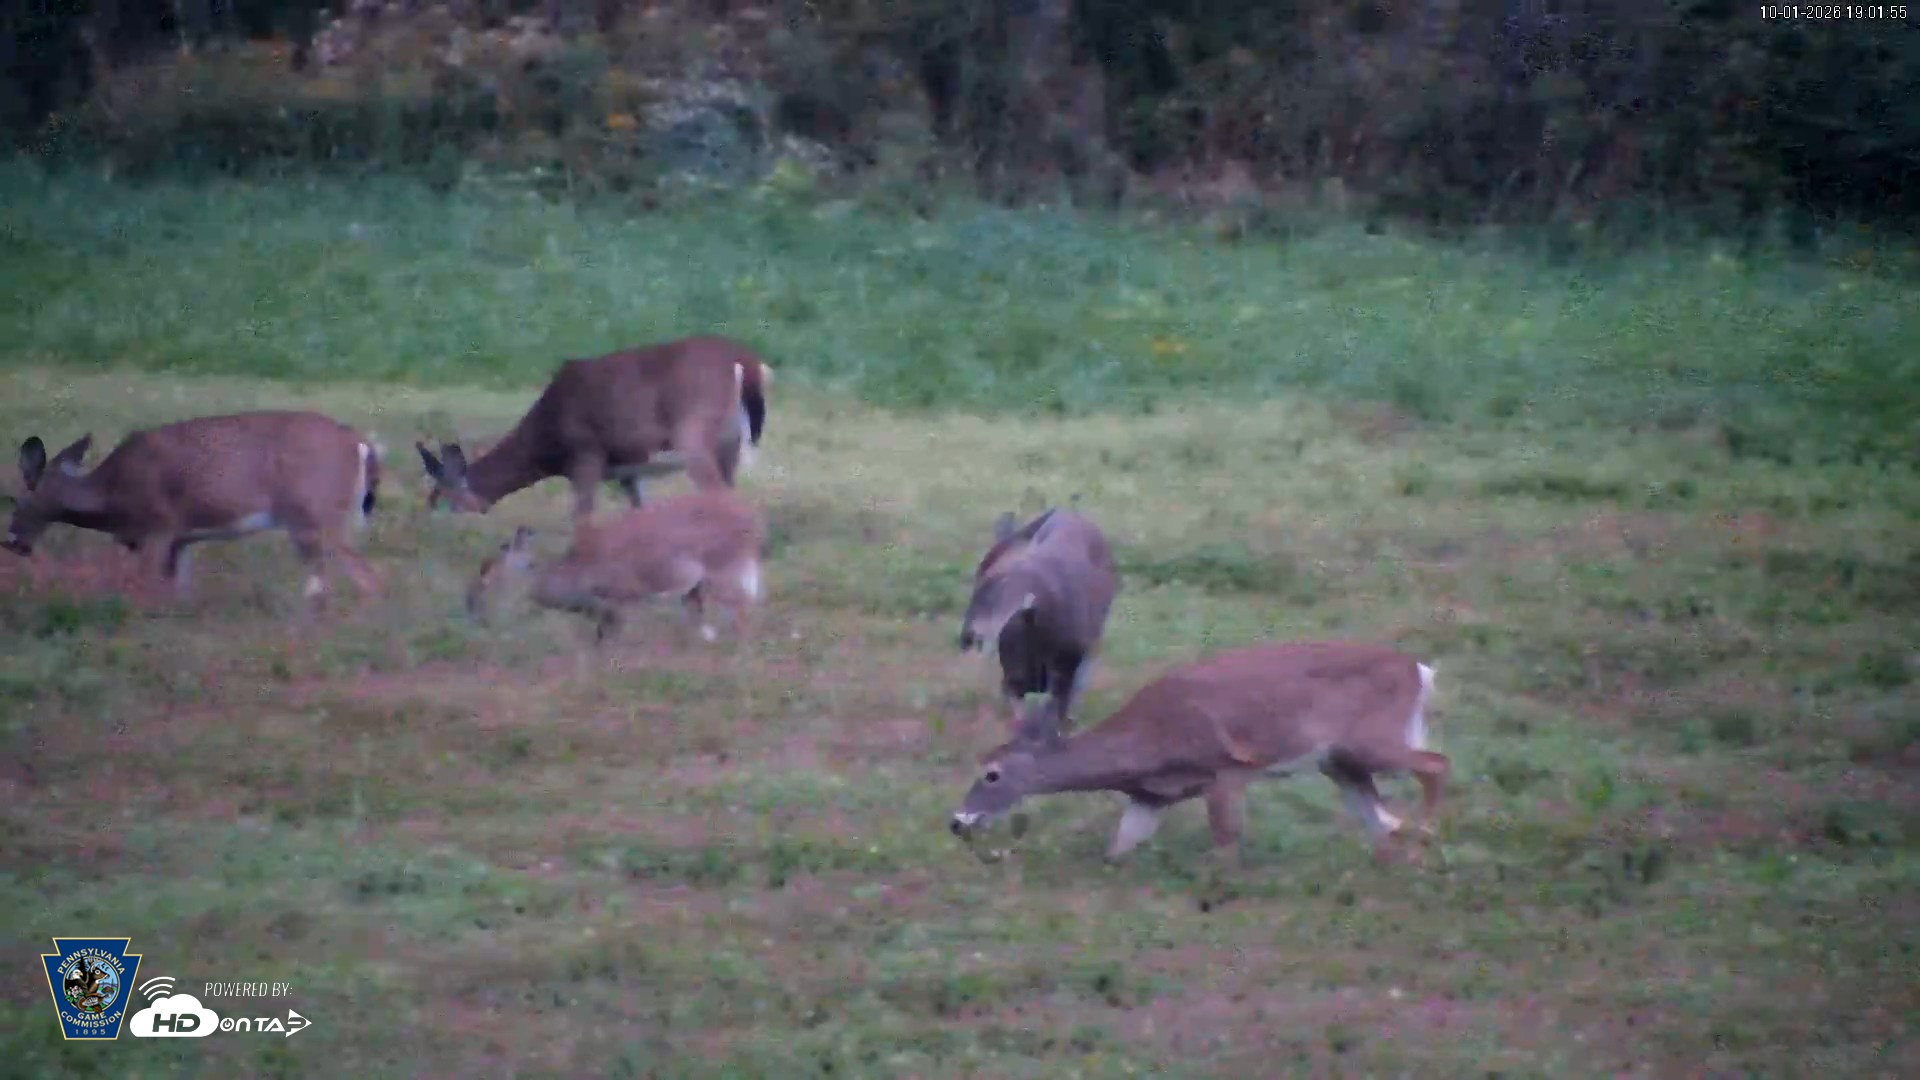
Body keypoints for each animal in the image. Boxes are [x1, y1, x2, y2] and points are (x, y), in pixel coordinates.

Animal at [4, 411, 384, 609]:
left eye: (14, 500)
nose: (12, 542)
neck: (112, 494)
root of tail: (361, 445)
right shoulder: (181, 539)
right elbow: (178, 592)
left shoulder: (159, 526)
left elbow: (146, 589)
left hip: (316, 513)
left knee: (365, 576)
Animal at [415, 335, 772, 524]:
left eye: (441, 497)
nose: (424, 526)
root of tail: (746, 361)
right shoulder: (627, 470)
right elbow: (640, 511)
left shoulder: (586, 454)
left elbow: (580, 516)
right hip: (728, 445)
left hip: (693, 433)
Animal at [463, 488, 766, 647]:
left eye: (487, 575)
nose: (472, 610)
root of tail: (750, 518)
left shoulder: (621, 601)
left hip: (724, 574)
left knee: (740, 615)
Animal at [947, 641, 1450, 867]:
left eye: (991, 774)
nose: (957, 821)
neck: (1147, 743)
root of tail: (1421, 670)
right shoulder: (1150, 797)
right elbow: (1118, 849)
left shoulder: (1224, 769)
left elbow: (1225, 843)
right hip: (1340, 762)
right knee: (1381, 818)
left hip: (1371, 740)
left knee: (1435, 764)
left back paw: (1423, 839)